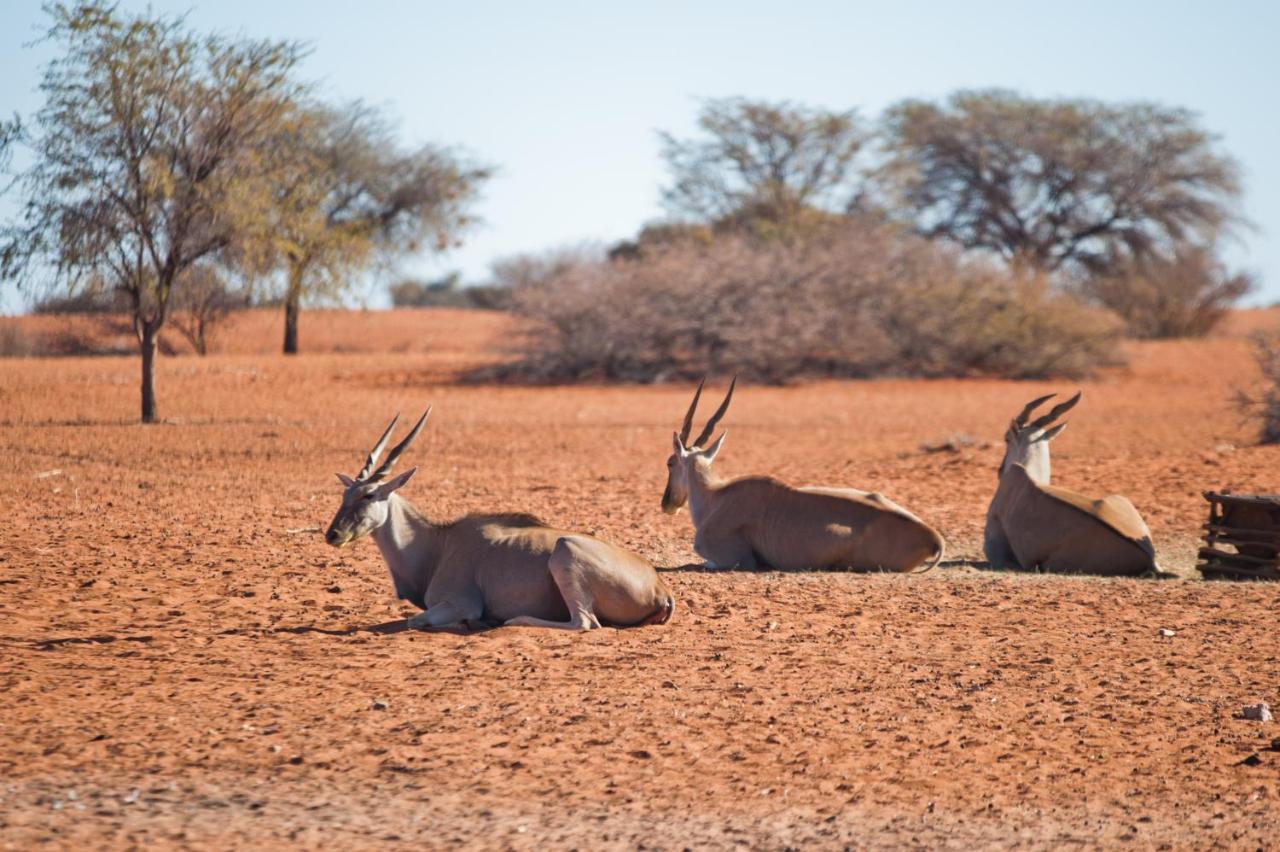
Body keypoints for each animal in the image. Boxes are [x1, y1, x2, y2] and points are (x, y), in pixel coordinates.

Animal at [325, 409, 675, 626]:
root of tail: (659, 587)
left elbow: (416, 620)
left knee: (585, 623)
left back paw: (513, 620)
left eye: (369, 495)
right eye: (344, 495)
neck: (438, 544)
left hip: (565, 551)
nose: (333, 535)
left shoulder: (460, 603)